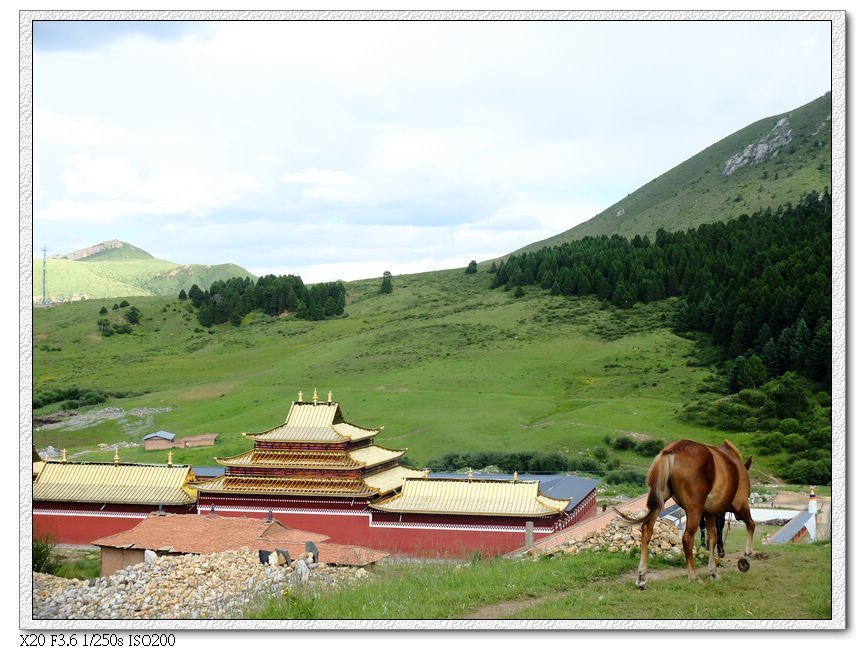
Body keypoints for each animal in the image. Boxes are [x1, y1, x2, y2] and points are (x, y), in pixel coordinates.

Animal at [616, 438, 752, 584]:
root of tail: (674, 450)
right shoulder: (741, 504)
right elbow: (751, 525)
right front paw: (746, 558)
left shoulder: (710, 513)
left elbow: (712, 539)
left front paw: (714, 572)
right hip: (694, 510)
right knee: (687, 538)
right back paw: (694, 577)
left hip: (659, 502)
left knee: (647, 530)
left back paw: (642, 576)